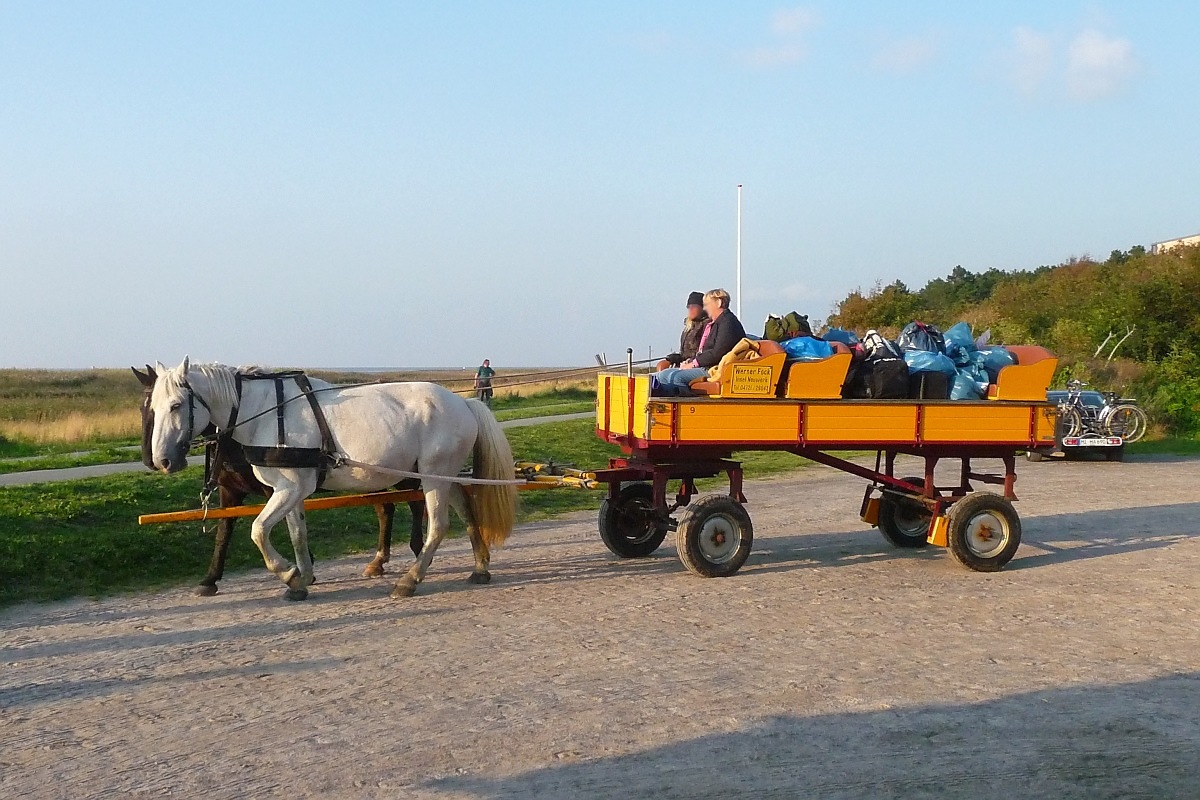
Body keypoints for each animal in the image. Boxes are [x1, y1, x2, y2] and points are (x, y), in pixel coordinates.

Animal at [147, 357, 518, 599]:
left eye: (177, 405)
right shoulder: (291, 488)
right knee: (465, 511)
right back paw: (480, 567)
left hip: (433, 476)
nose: (162, 461)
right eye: (151, 407)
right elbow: (297, 534)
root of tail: (464, 403)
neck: (267, 411)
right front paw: (302, 578)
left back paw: (410, 580)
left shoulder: (290, 487)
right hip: (441, 474)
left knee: (438, 526)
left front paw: (286, 572)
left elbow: (258, 530)